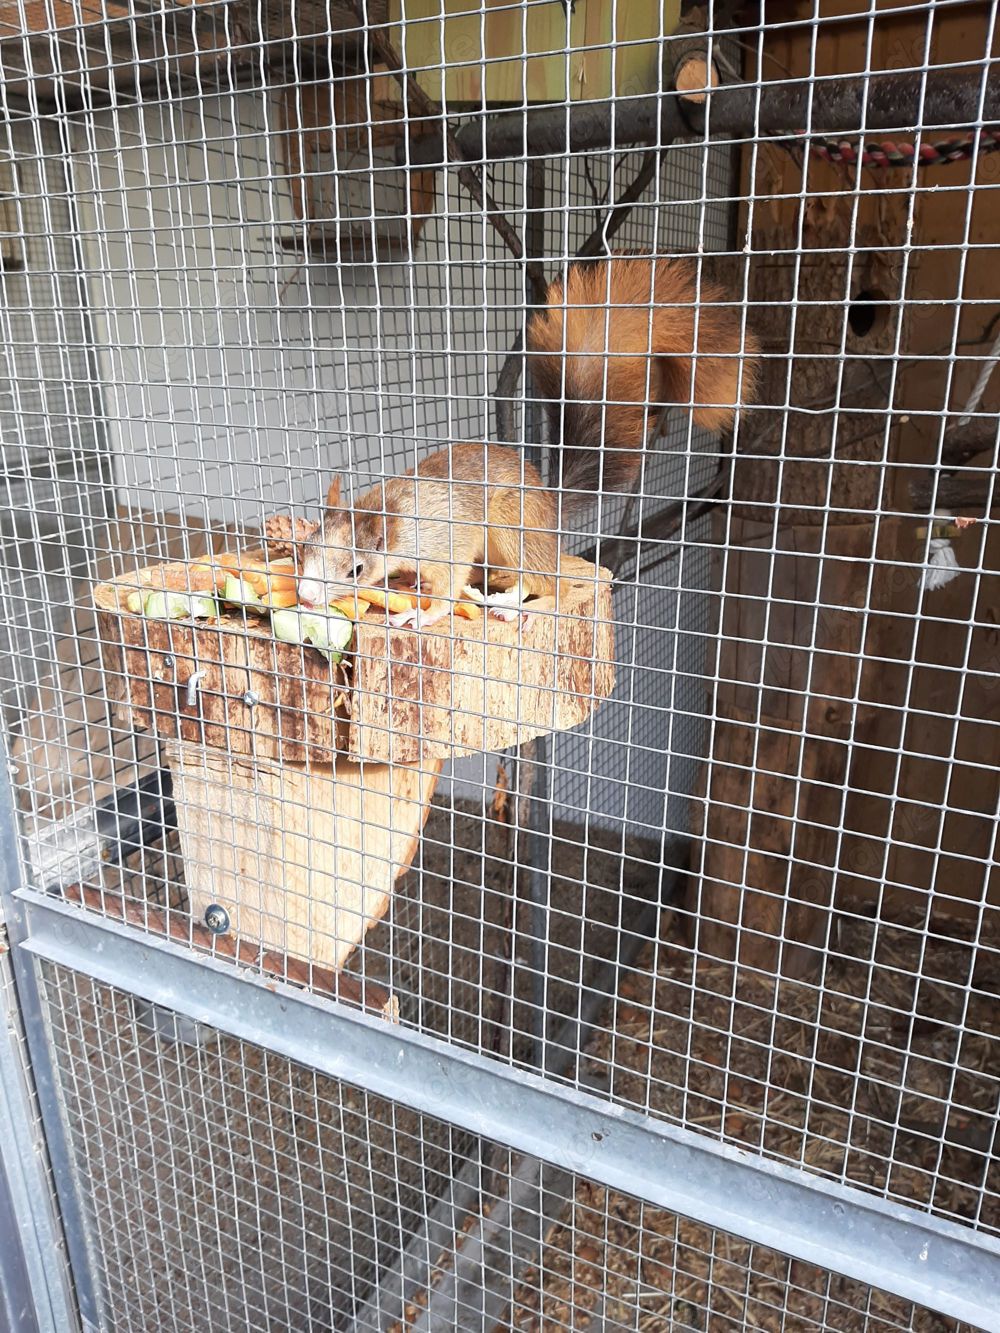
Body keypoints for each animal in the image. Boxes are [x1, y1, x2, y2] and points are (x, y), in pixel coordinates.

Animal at [299, 254, 757, 628]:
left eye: (356, 570)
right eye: (305, 547)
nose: (304, 597)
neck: (392, 517)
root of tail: (548, 506)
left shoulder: (445, 545)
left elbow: (448, 588)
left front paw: (422, 614)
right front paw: (410, 588)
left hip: (512, 524)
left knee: (548, 583)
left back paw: (524, 606)